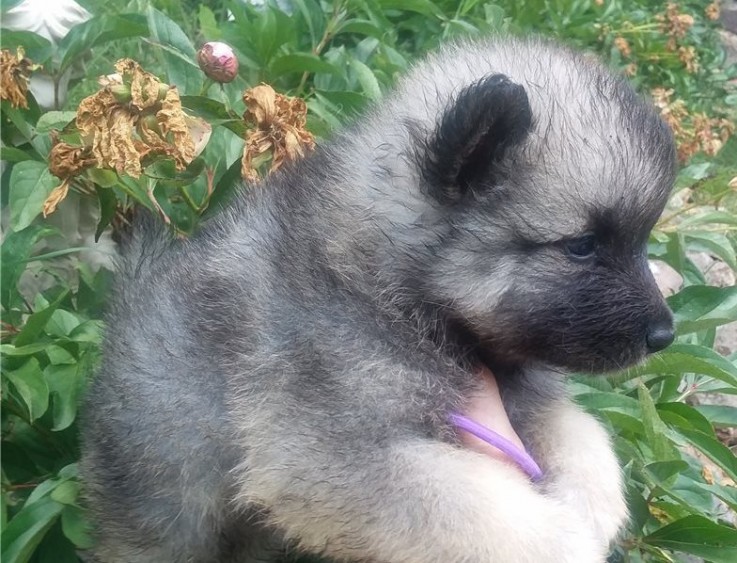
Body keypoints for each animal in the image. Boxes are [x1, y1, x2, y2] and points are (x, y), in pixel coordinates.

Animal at [80, 36, 672, 563]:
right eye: (582, 245)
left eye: (640, 242)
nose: (665, 335)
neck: (394, 289)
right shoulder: (328, 452)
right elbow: (486, 513)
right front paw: (568, 541)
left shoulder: (522, 397)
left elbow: (584, 435)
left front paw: (593, 505)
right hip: (168, 503)